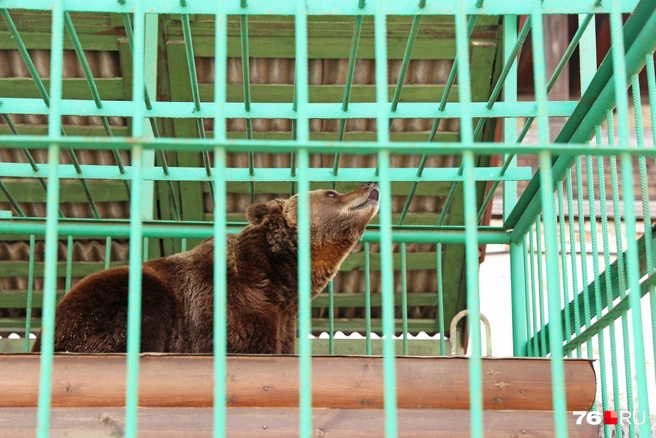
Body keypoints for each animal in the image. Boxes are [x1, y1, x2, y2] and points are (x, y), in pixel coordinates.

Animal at [30, 183, 380, 354]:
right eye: (332, 192)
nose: (370, 184)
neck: (281, 275)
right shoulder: (230, 301)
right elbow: (242, 341)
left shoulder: (282, 316)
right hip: (108, 301)